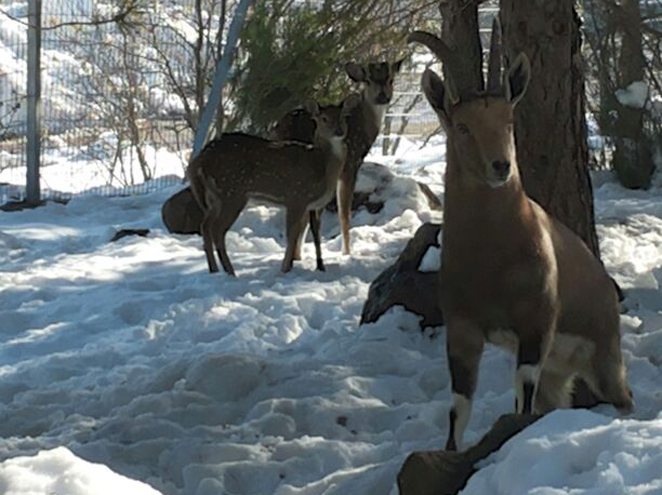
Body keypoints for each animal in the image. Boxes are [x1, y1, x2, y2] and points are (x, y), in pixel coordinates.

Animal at [187, 95, 360, 278]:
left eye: (343, 116)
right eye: (324, 118)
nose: (339, 131)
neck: (322, 166)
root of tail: (198, 161)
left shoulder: (309, 205)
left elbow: (305, 234)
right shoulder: (296, 196)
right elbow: (291, 235)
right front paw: (285, 270)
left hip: (214, 196)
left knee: (205, 225)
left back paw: (214, 270)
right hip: (232, 192)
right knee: (217, 229)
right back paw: (230, 272)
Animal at [274, 59, 404, 256]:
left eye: (391, 79)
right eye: (368, 80)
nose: (383, 96)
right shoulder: (351, 163)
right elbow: (344, 212)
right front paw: (347, 252)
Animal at [412, 23, 636, 452]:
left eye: (508, 121)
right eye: (463, 126)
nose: (501, 166)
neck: (492, 253)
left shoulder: (536, 325)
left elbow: (522, 400)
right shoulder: (463, 329)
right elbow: (458, 410)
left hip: (603, 353)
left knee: (623, 398)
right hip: (559, 369)